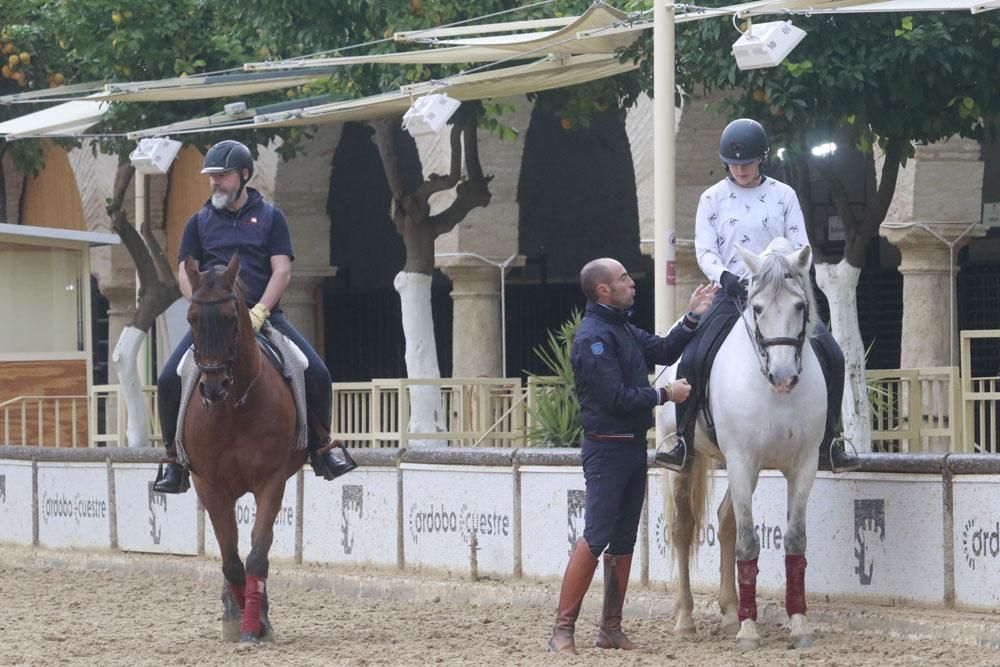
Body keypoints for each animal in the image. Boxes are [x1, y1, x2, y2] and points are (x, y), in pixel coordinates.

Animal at [180, 253, 304, 644]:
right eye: (191, 317)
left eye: (231, 317)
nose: (213, 386)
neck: (233, 407)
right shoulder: (209, 485)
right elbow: (231, 559)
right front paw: (240, 621)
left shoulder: (271, 480)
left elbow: (257, 555)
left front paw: (255, 625)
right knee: (230, 549)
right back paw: (232, 610)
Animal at [660, 237, 824, 648]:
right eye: (758, 307)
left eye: (800, 306)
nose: (783, 377)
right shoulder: (741, 459)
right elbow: (749, 542)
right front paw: (750, 631)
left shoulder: (804, 465)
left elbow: (795, 541)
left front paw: (799, 624)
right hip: (687, 461)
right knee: (683, 528)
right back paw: (686, 619)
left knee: (724, 520)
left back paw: (730, 612)